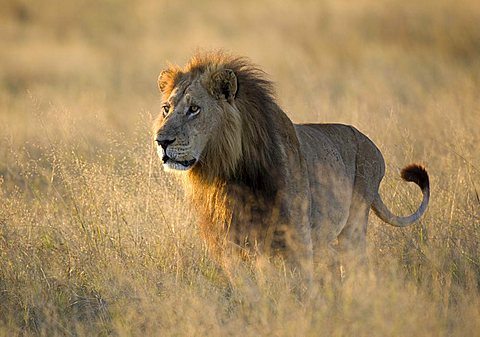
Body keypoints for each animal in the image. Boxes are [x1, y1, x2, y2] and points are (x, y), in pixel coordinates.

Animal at [154, 50, 432, 278]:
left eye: (194, 109)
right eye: (166, 108)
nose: (161, 141)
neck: (227, 174)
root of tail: (372, 145)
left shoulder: (296, 240)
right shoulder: (228, 245)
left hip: (353, 223)